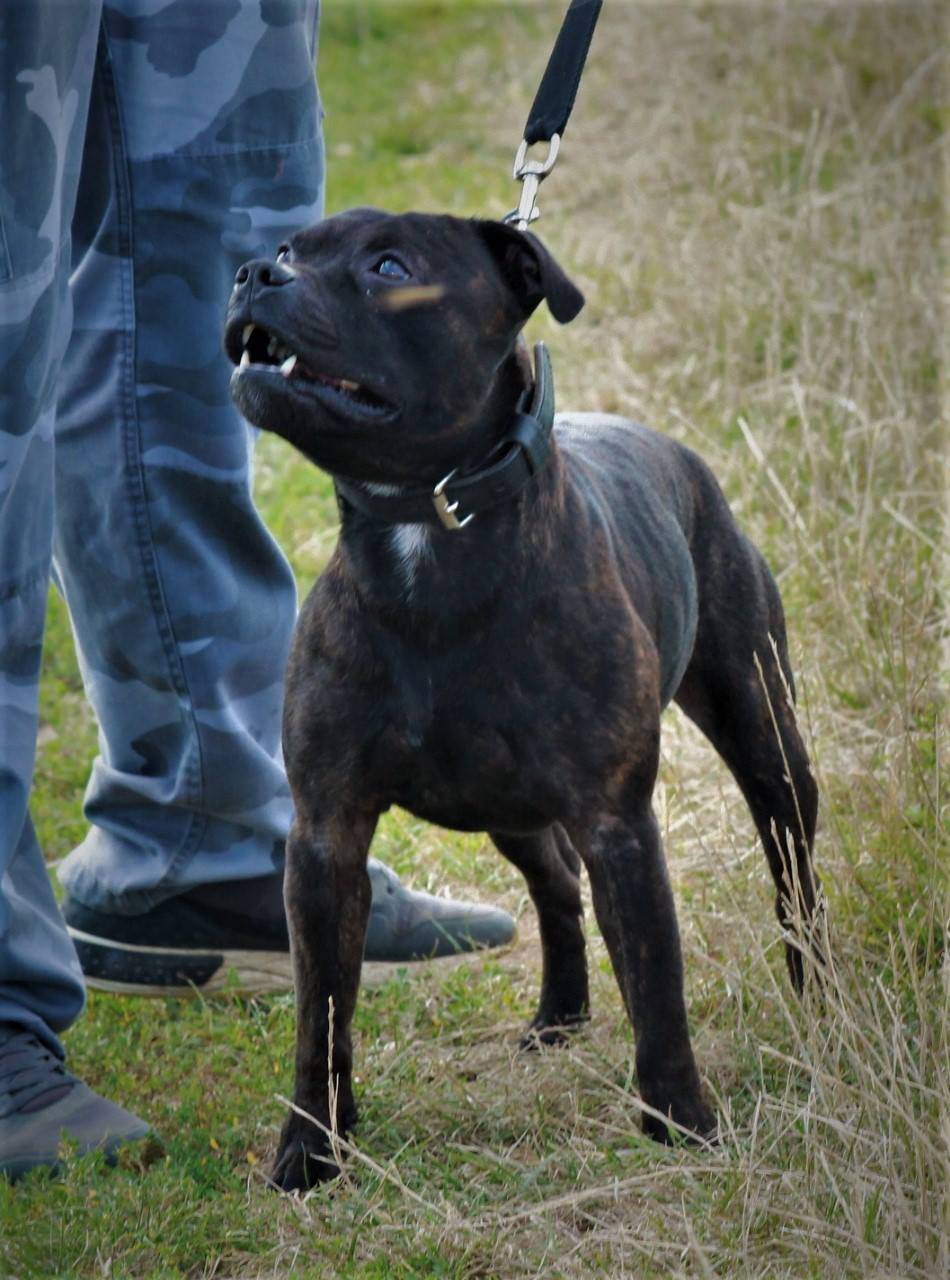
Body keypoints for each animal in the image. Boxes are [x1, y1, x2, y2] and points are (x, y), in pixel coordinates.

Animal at [222, 209, 819, 1187]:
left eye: (391, 268)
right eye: (287, 249)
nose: (250, 273)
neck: (426, 529)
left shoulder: (618, 822)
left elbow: (658, 984)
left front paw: (682, 1125)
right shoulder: (325, 838)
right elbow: (322, 1015)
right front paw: (311, 1152)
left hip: (765, 736)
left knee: (792, 869)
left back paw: (818, 993)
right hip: (509, 809)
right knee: (555, 888)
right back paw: (559, 1016)